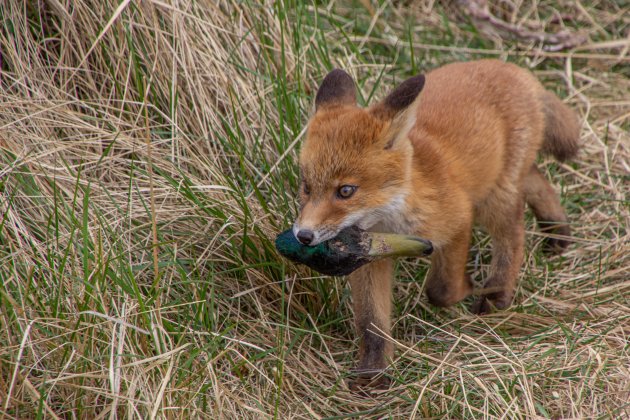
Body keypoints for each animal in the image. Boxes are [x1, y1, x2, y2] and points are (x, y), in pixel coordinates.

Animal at [294, 60, 580, 390]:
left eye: (345, 191)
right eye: (306, 187)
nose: (303, 236)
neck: (393, 222)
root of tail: (513, 69)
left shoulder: (459, 219)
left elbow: (440, 289)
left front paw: (466, 287)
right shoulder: (368, 257)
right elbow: (371, 323)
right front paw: (373, 372)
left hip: (494, 200)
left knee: (513, 236)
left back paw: (497, 292)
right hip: (496, 181)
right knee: (537, 180)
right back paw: (557, 230)